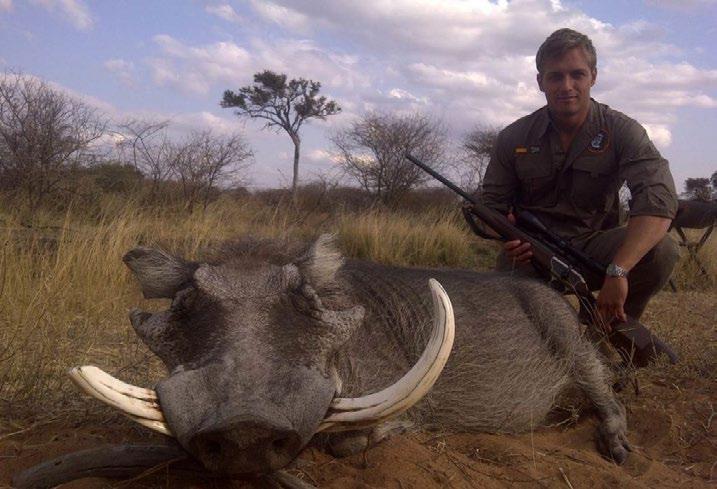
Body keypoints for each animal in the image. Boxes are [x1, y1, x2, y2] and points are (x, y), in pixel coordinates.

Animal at [13, 235, 630, 488]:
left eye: (305, 299)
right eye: (185, 303)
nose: (244, 429)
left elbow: (351, 442)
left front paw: (397, 429)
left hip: (573, 340)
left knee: (606, 392)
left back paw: (619, 449)